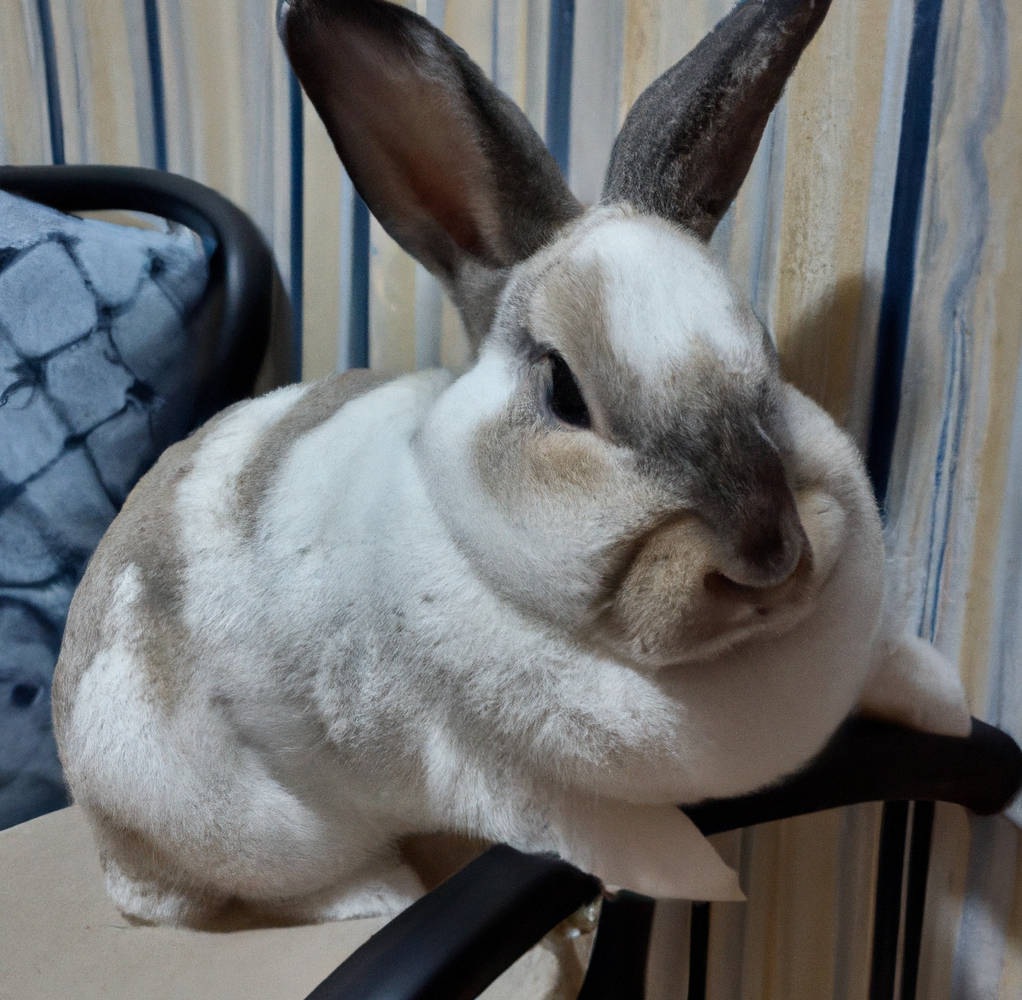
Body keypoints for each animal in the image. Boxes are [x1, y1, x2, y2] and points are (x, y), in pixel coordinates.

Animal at [53, 0, 964, 928]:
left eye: (769, 361)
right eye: (564, 392)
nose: (769, 559)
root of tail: (101, 826)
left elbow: (895, 667)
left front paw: (949, 708)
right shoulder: (496, 779)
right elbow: (635, 846)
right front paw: (708, 883)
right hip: (246, 824)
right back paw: (380, 891)